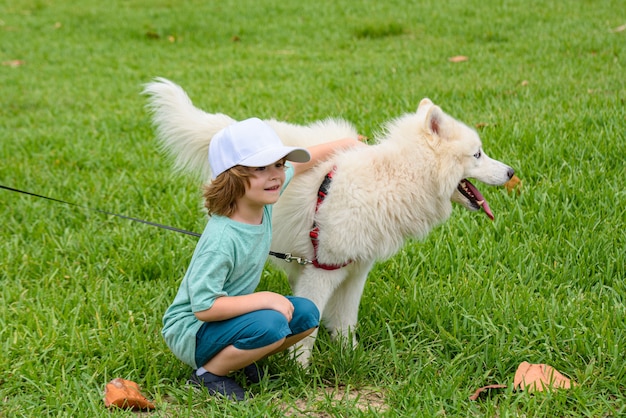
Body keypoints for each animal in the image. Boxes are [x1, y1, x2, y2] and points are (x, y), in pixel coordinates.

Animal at [144, 78, 516, 366]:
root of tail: (230, 129)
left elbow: (346, 321)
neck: (393, 176)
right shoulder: (324, 270)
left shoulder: (355, 269)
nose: (513, 172)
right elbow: (309, 326)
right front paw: (300, 370)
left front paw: (349, 356)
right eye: (478, 154)